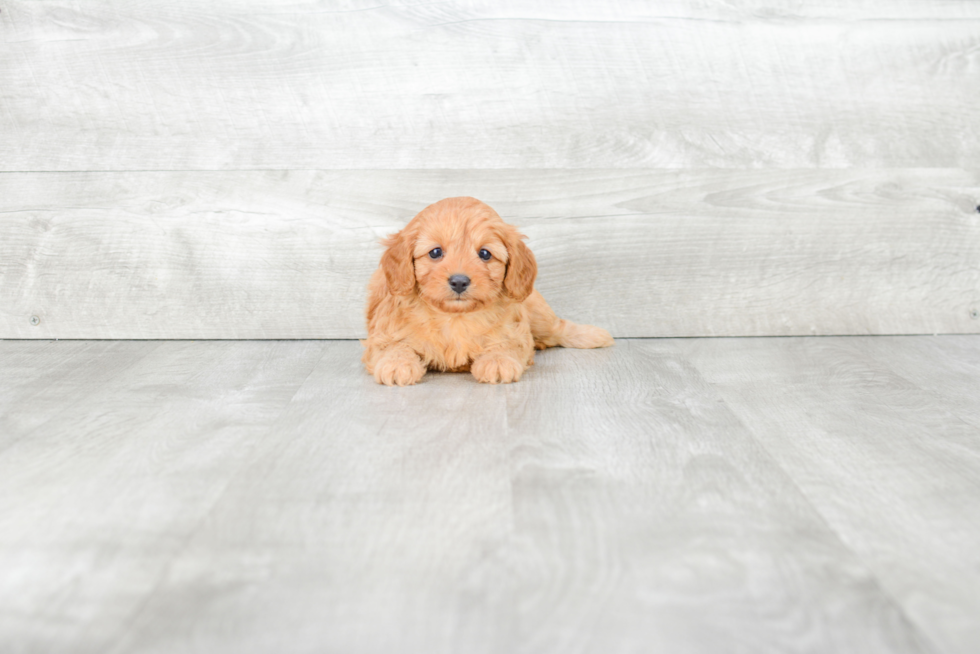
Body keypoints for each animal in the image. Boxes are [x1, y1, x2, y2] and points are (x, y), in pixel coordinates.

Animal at [364, 197, 616, 386]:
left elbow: (507, 343)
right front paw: (397, 364)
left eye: (485, 254)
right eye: (435, 252)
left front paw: (497, 361)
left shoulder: (514, 330)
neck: (454, 317)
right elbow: (394, 346)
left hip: (537, 313)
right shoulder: (384, 331)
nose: (459, 281)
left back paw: (593, 335)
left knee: (557, 328)